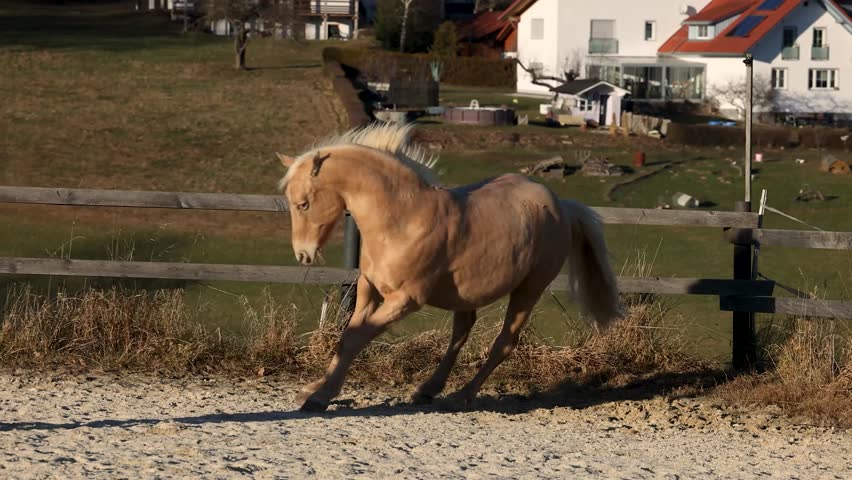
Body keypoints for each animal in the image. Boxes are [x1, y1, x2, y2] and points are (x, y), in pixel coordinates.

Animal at [276, 122, 619, 412]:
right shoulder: (368, 288)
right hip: (467, 294)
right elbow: (348, 337)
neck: (403, 220)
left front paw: (319, 397)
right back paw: (427, 390)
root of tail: (562, 206)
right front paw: (314, 389)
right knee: (461, 332)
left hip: (528, 289)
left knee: (504, 342)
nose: (303, 254)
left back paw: (460, 396)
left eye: (303, 203)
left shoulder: (405, 301)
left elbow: (356, 339)